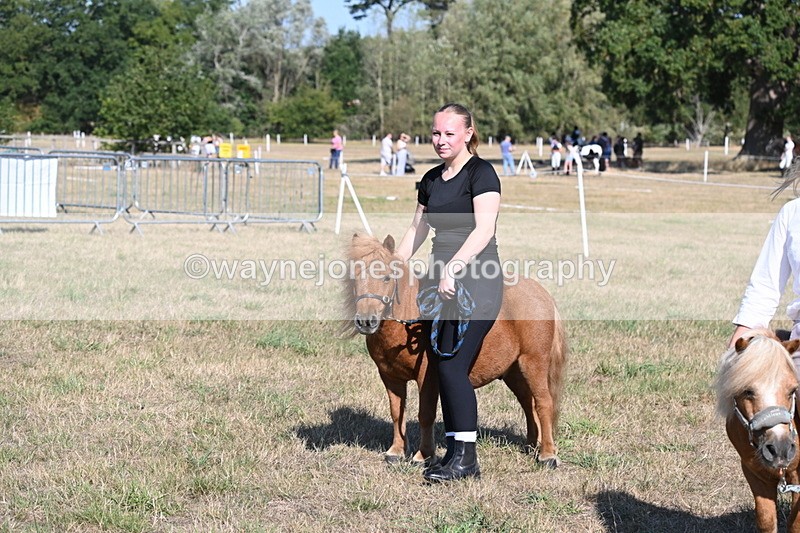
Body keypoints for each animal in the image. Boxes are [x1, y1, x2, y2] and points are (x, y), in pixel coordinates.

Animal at [343, 233, 568, 468]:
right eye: (354, 278)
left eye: (387, 278)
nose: (366, 321)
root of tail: (542, 294)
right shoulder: (390, 377)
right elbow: (397, 412)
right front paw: (395, 451)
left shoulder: (427, 377)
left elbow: (425, 414)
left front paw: (424, 455)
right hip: (514, 371)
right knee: (528, 403)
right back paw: (532, 445)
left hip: (534, 363)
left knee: (543, 402)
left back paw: (547, 454)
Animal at [716, 330, 800, 532]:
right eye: (747, 390)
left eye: (792, 390)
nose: (780, 449)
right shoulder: (755, 474)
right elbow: (766, 520)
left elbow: (795, 523)